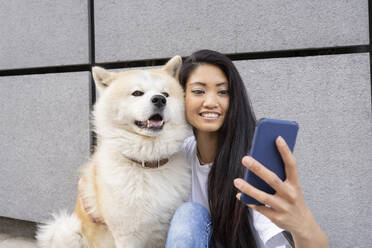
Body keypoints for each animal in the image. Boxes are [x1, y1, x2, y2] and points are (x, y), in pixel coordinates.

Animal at [36, 56, 192, 248]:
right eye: (137, 93)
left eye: (166, 94)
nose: (160, 99)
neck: (146, 164)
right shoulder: (128, 235)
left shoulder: (164, 231)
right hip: (66, 230)